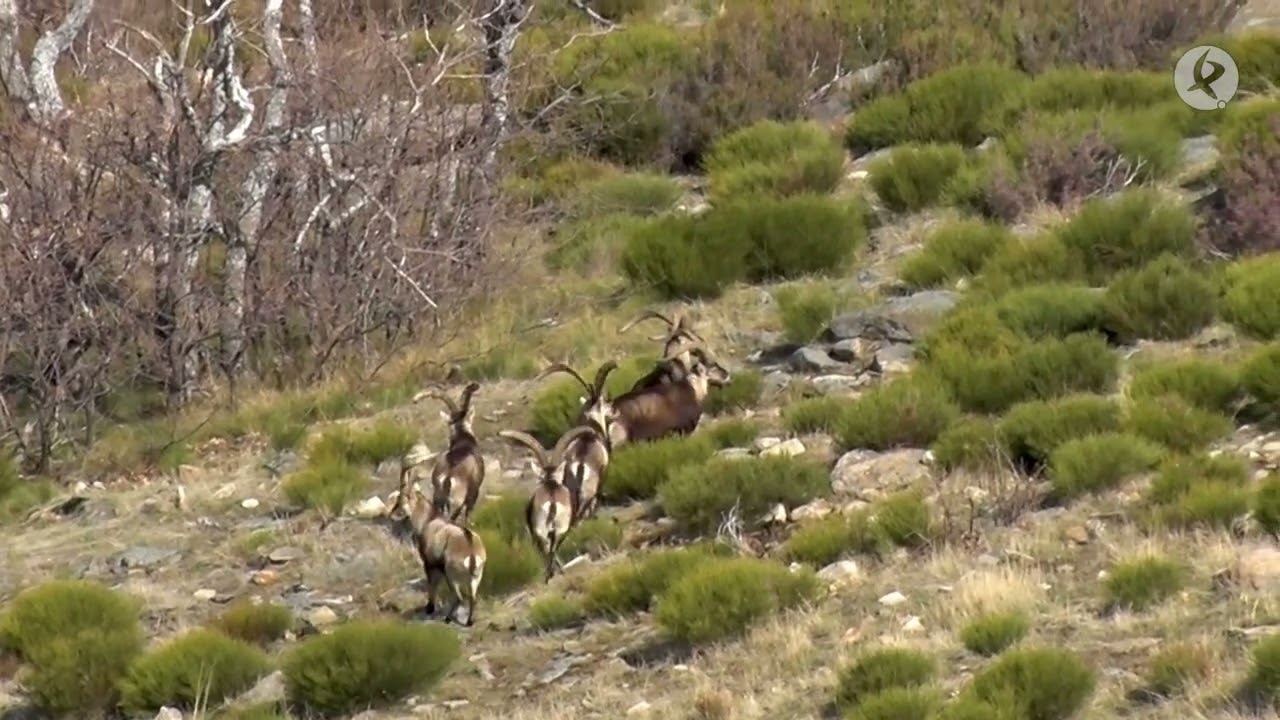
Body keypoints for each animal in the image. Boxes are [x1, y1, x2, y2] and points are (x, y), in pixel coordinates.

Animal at [392, 381, 484, 525]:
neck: (464, 440)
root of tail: (448, 477)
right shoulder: (474, 492)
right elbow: (468, 514)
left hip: (437, 497)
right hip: (456, 502)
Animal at [499, 426, 597, 582]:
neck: (551, 483)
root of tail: (552, 501)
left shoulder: (535, 531)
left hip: (542, 531)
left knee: (547, 551)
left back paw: (548, 576)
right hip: (561, 529)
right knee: (553, 550)